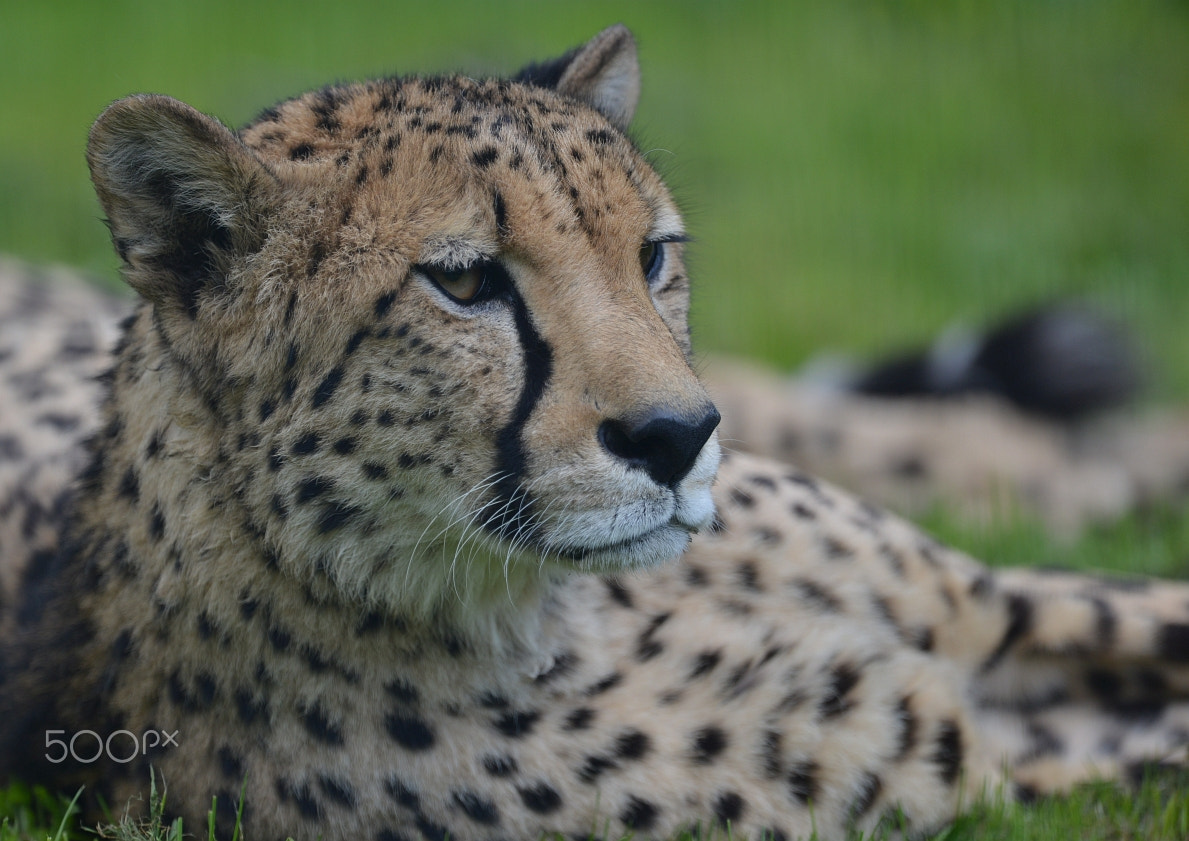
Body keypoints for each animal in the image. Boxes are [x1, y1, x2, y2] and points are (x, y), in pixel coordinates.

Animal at [2, 26, 1189, 841]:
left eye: (651, 255)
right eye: (464, 281)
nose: (677, 435)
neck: (563, 610)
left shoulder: (992, 607)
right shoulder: (972, 751)